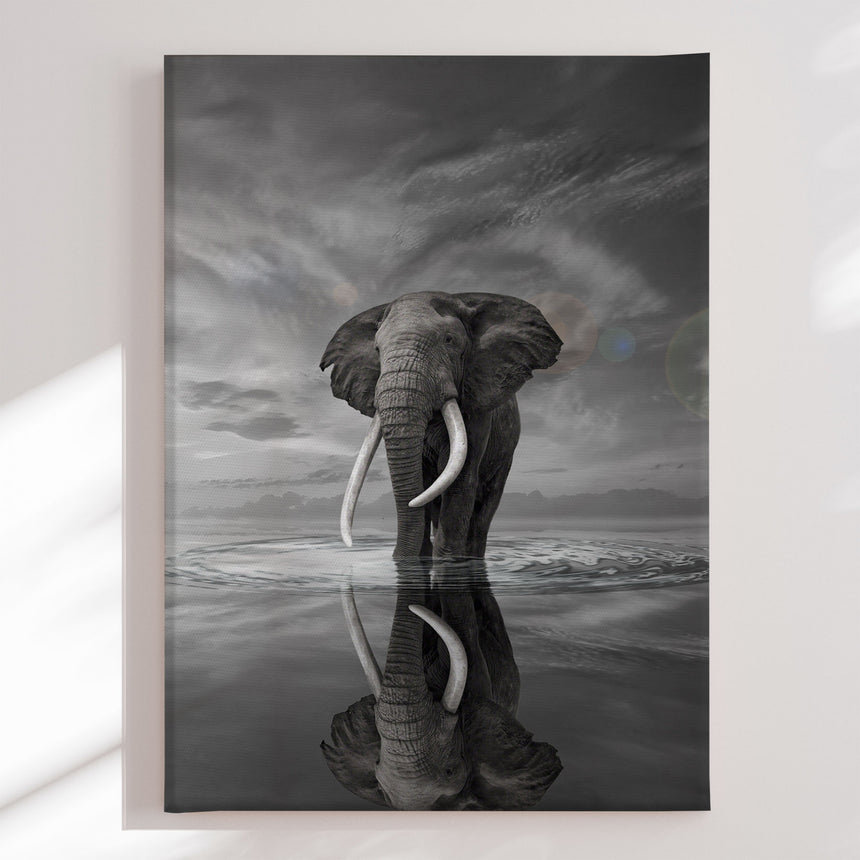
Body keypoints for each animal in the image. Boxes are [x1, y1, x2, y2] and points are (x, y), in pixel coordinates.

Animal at [320, 291, 562, 560]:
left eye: (449, 340)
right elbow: (422, 480)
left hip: (505, 456)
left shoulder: (477, 406)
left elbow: (459, 480)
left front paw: (447, 560)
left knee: (485, 509)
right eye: (377, 349)